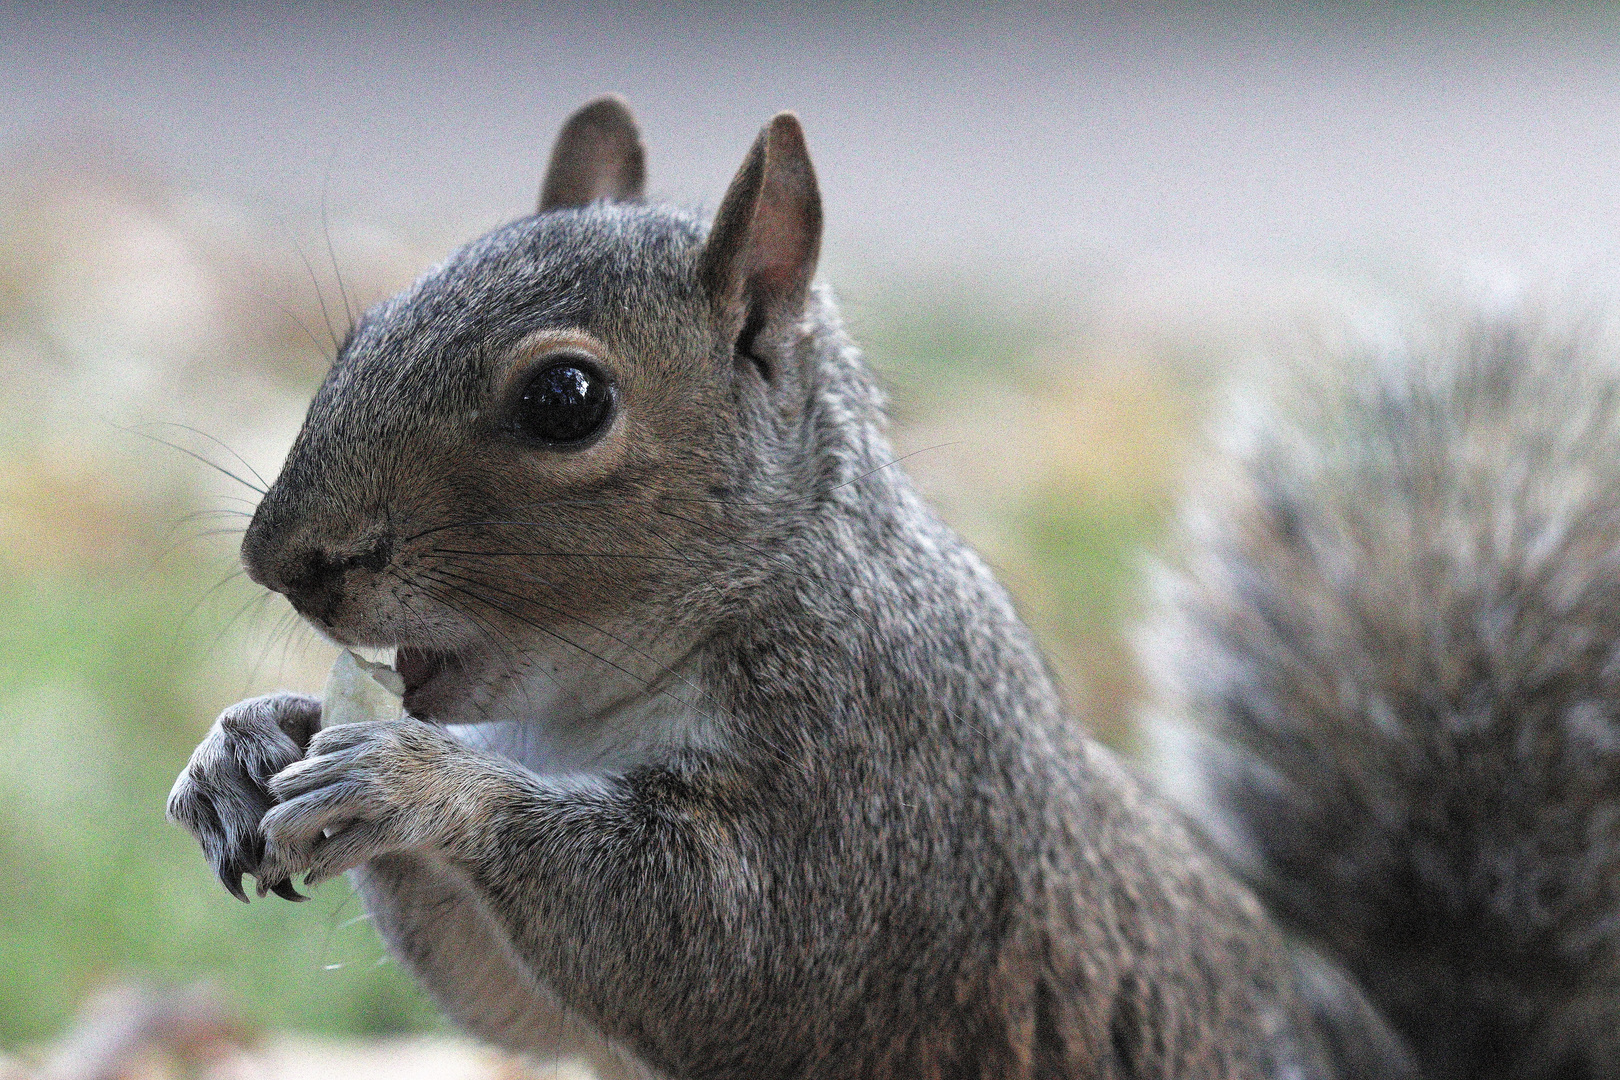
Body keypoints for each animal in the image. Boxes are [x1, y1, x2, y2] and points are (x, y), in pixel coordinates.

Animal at [161, 95, 1607, 1080]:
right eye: (360, 328)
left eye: (566, 399)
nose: (282, 562)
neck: (589, 707)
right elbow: (506, 997)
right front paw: (251, 746)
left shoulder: (882, 787)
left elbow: (726, 945)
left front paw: (413, 780)